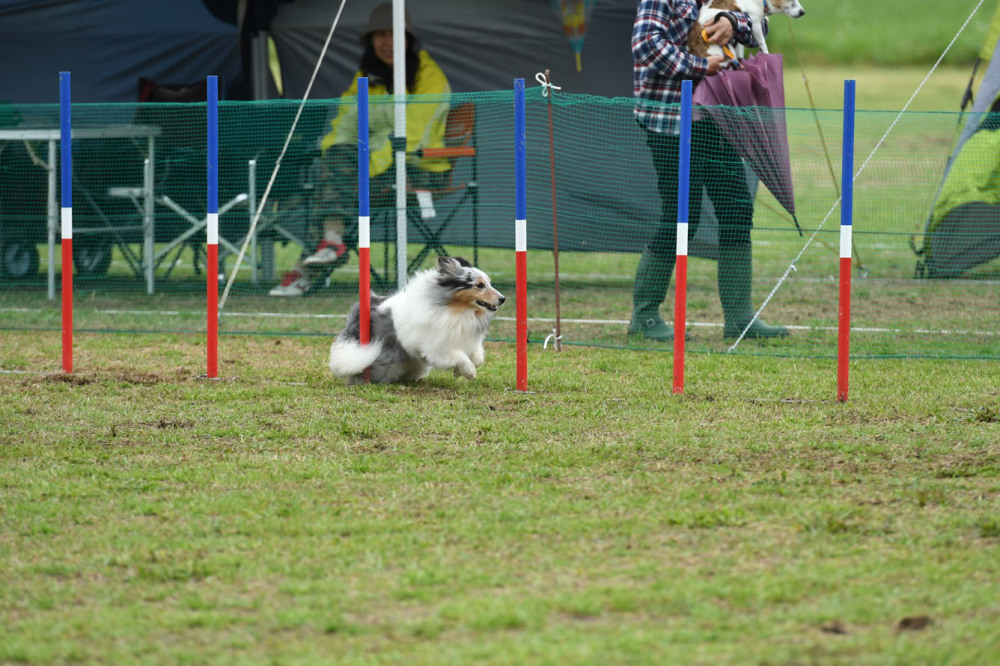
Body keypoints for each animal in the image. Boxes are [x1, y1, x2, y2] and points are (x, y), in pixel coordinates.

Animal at [328, 256, 504, 386]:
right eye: (479, 285)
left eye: (490, 282)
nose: (503, 299)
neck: (458, 310)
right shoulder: (439, 349)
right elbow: (462, 358)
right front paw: (470, 373)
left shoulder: (468, 340)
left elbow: (478, 358)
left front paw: (459, 371)